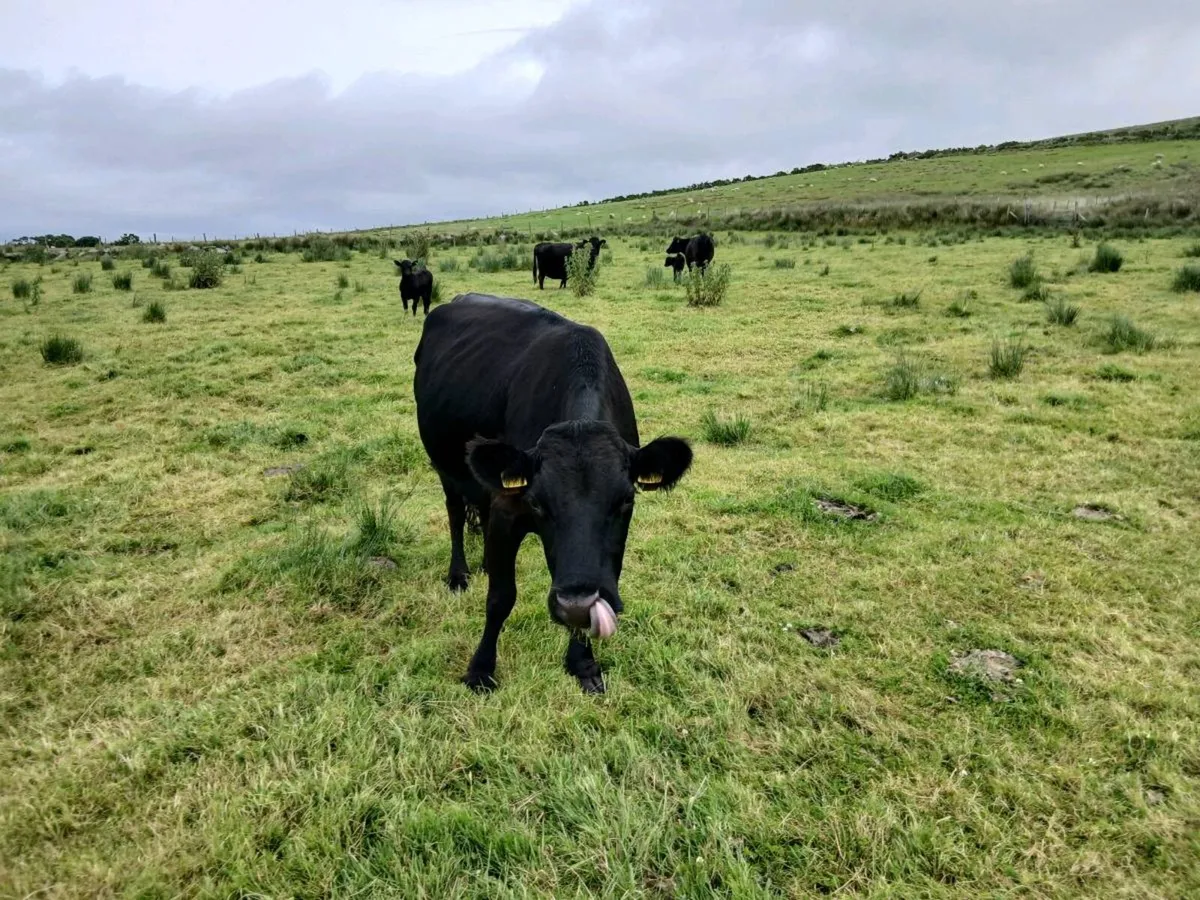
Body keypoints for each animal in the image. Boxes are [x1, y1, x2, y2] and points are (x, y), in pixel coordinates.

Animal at [413, 292, 692, 693]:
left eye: (626, 500)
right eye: (537, 503)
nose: (575, 604)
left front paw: (582, 662)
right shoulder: (508, 508)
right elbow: (501, 597)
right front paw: (480, 669)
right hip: (444, 465)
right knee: (454, 513)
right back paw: (459, 574)